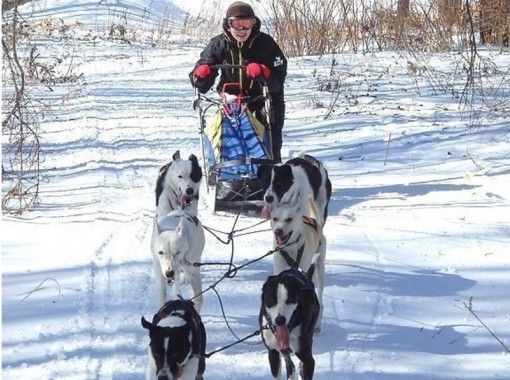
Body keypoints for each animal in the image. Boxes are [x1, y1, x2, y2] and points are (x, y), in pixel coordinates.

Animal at [270, 197, 326, 332]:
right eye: (275, 219)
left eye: (289, 219)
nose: (278, 231)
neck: (291, 248)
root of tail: (315, 223)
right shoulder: (279, 269)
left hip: (320, 270)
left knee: (321, 300)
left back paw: (317, 324)